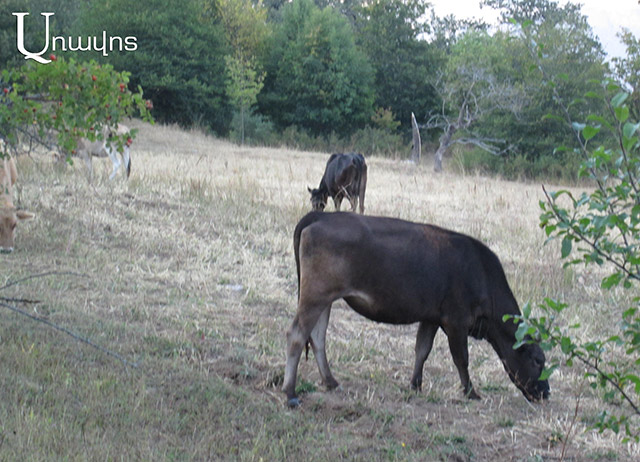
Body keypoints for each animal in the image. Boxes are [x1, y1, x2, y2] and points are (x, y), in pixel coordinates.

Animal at [284, 211, 552, 406]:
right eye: (538, 360)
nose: (546, 393)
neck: (481, 274)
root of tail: (322, 215)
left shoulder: (432, 317)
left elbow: (422, 350)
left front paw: (415, 384)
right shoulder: (456, 321)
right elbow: (461, 358)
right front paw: (470, 392)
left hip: (324, 299)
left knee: (317, 337)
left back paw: (330, 381)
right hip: (315, 296)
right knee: (297, 335)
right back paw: (290, 392)